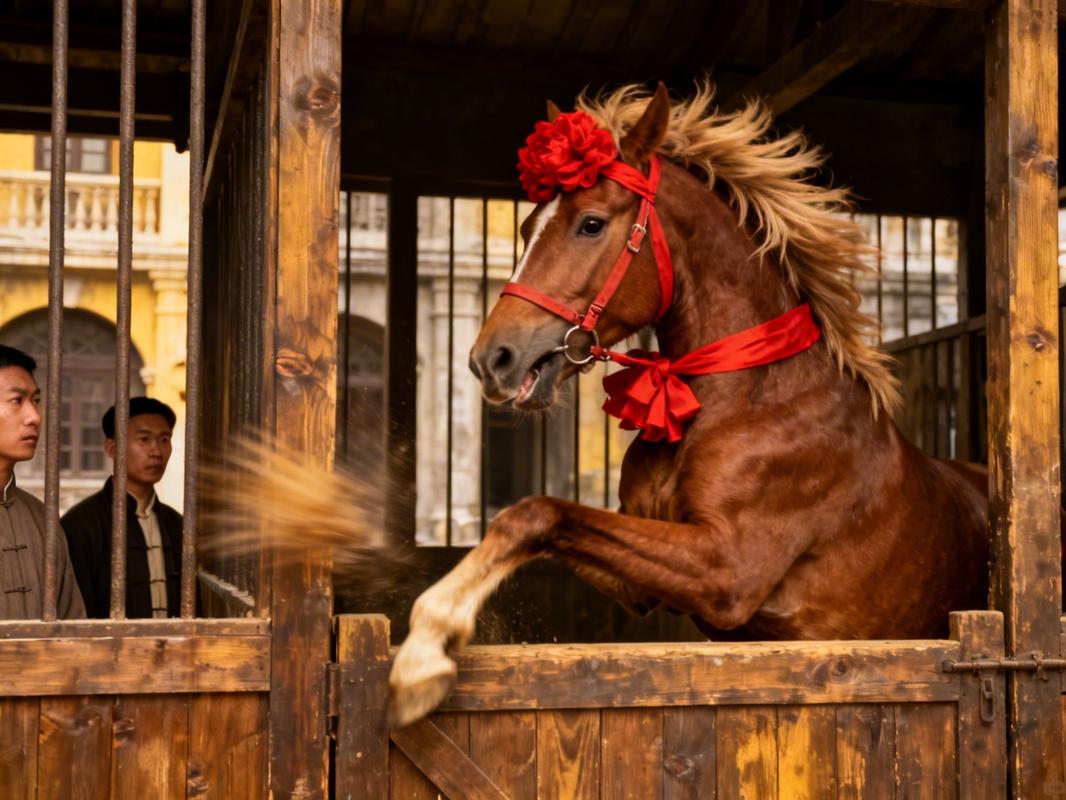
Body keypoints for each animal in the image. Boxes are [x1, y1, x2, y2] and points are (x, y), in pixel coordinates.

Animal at [385, 81, 989, 728]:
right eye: (525, 228)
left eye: (591, 224)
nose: (492, 359)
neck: (751, 397)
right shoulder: (644, 583)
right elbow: (536, 524)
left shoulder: (726, 568)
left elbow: (535, 513)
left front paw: (424, 653)